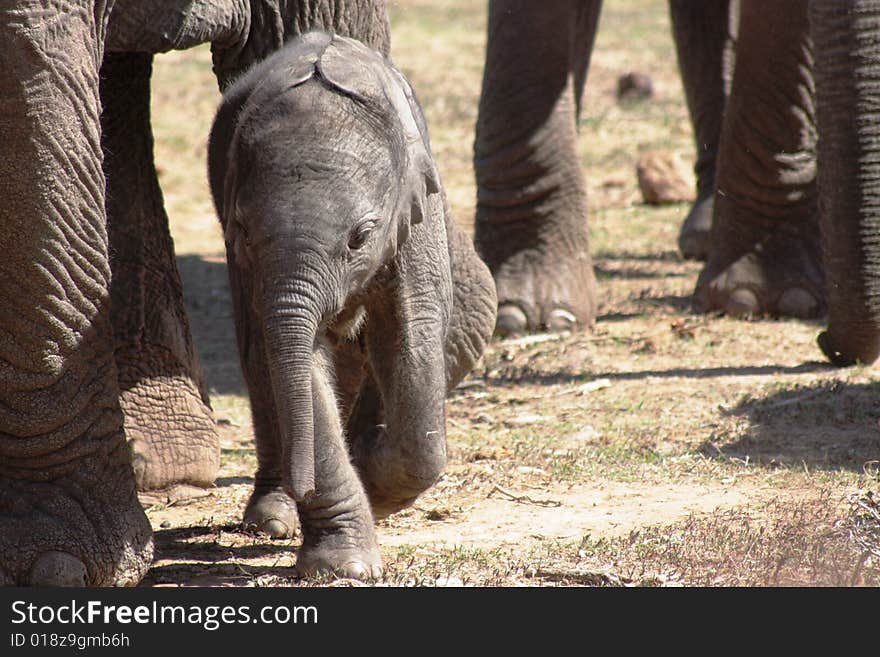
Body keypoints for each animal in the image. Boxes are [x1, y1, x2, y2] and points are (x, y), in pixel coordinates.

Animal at [205, 30, 496, 576]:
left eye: (361, 237)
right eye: (245, 231)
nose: (302, 486)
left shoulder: (413, 210)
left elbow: (411, 333)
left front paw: (376, 491)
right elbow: (293, 361)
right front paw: (343, 568)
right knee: (260, 360)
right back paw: (274, 517)